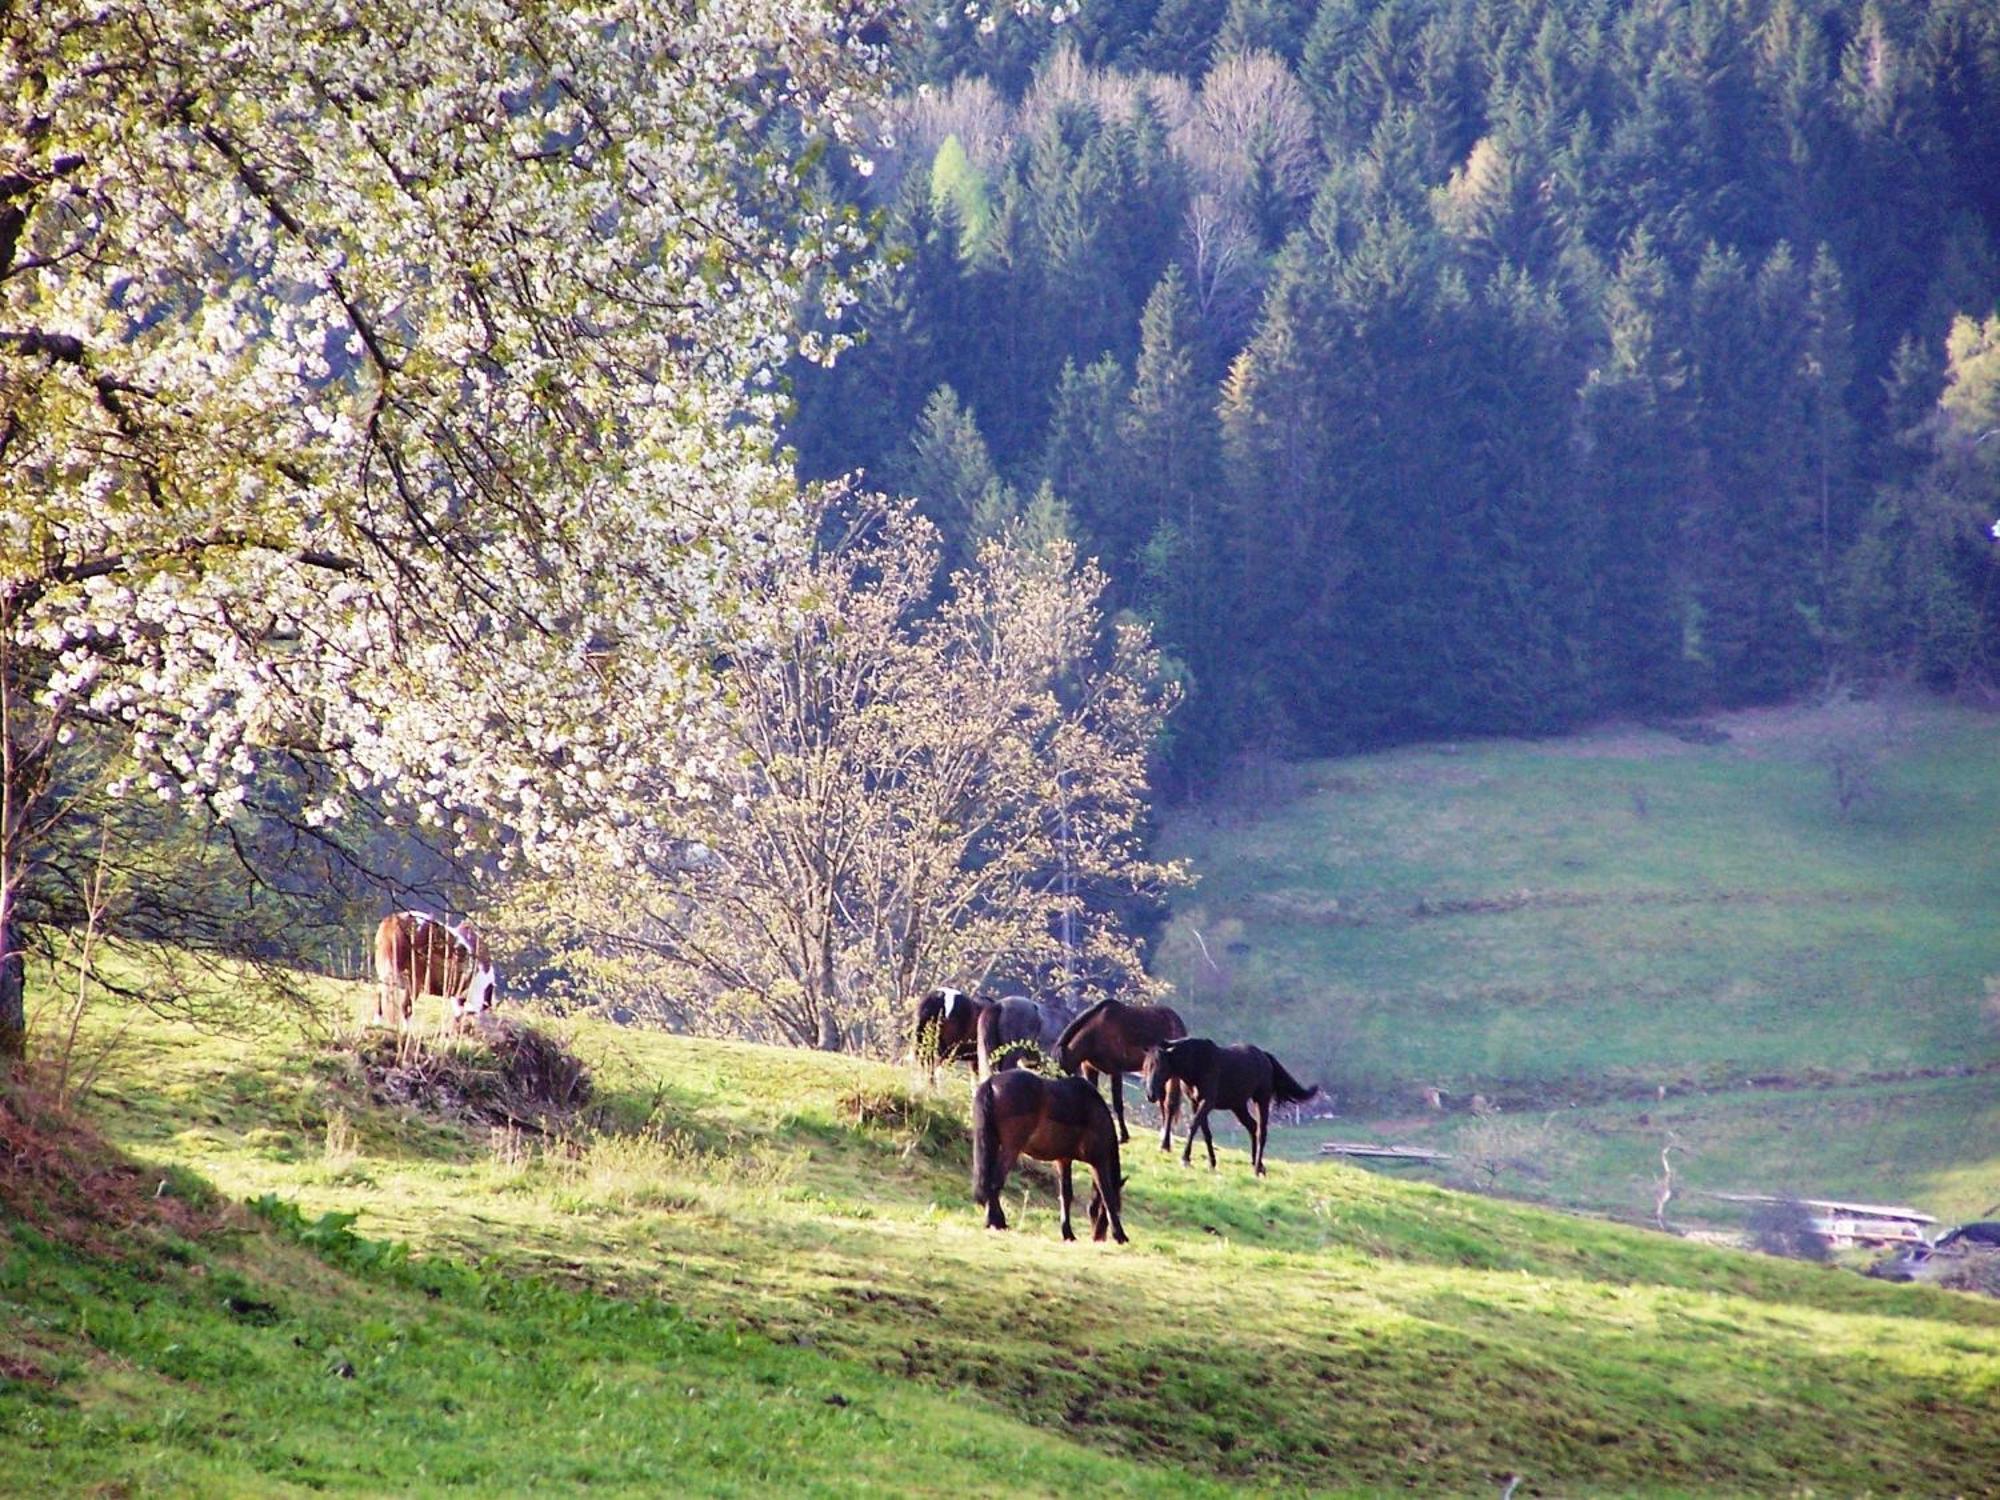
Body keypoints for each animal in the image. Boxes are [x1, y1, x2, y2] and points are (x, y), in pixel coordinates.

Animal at [976, 1072, 1136, 1248]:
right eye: (1120, 1208)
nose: (1098, 1238)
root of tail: (992, 1082)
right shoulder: (1098, 1162)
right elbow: (1107, 1197)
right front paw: (1120, 1235)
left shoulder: (1064, 1160)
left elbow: (1066, 1195)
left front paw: (1068, 1233)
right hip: (1011, 1149)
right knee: (994, 1183)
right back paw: (997, 1222)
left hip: (993, 1144)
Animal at [1048, 1004, 1184, 1144]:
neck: (1095, 1033)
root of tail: (1177, 1019)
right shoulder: (1089, 1069)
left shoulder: (1116, 1071)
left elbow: (1117, 1103)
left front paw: (1123, 1136)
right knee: (1162, 1100)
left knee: (1170, 1103)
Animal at [1144, 1040, 1312, 1184]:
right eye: (1147, 1066)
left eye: (1161, 1067)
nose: (1150, 1095)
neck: (1198, 1064)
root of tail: (1265, 1056)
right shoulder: (1195, 1103)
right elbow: (1205, 1132)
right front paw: (1212, 1162)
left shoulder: (1207, 1102)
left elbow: (1193, 1126)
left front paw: (1185, 1159)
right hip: (1238, 1105)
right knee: (1252, 1126)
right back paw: (1256, 1163)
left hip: (1261, 1101)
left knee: (1261, 1132)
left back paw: (1258, 1169)